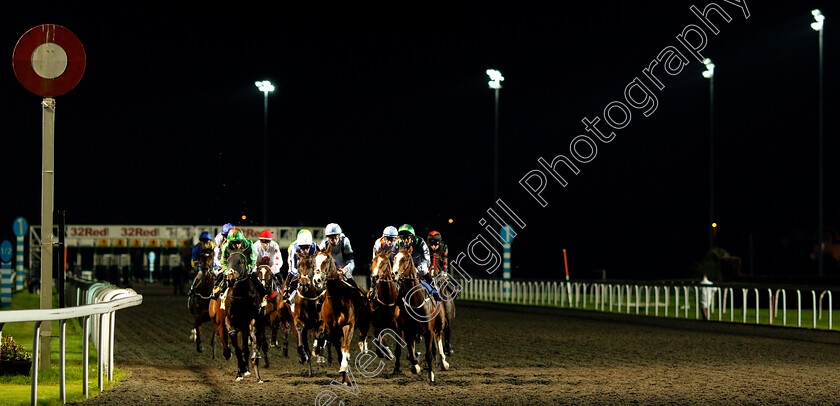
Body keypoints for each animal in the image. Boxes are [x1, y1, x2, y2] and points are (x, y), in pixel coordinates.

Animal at [394, 246, 446, 382]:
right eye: (394, 257)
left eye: (406, 259)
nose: (394, 273)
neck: (415, 300)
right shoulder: (408, 331)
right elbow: (411, 355)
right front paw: (415, 367)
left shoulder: (429, 331)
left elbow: (429, 354)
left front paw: (431, 374)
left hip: (440, 323)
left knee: (439, 337)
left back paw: (444, 362)